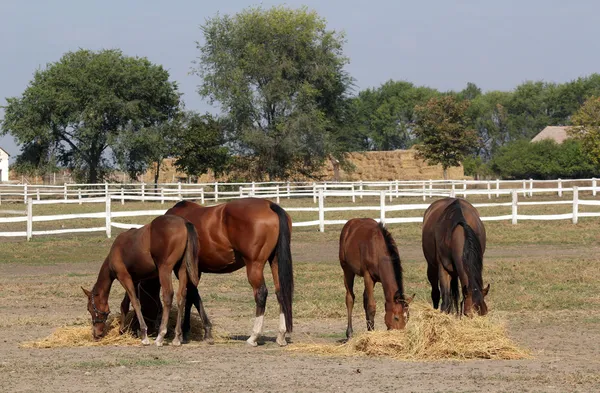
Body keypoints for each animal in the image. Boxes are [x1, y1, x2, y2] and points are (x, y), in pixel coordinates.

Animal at [82, 213, 200, 344]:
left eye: (90, 308)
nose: (96, 334)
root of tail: (183, 222)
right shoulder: (134, 279)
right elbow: (124, 304)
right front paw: (122, 330)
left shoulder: (124, 277)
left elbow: (135, 302)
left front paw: (144, 334)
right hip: (182, 269)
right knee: (181, 297)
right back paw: (177, 337)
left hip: (165, 270)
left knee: (168, 296)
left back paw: (160, 336)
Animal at [158, 198, 294, 344]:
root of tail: (270, 205)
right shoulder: (194, 271)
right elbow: (191, 297)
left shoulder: (182, 270)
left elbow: (193, 295)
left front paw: (197, 331)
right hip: (275, 262)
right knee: (280, 292)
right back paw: (281, 335)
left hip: (254, 265)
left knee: (261, 293)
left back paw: (254, 336)